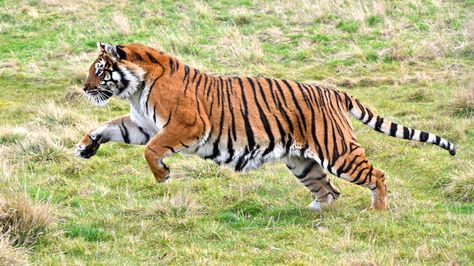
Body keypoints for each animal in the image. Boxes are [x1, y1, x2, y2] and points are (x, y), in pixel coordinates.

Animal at [76, 42, 458, 211]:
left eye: (100, 70)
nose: (84, 87)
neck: (136, 89)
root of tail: (333, 91)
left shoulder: (184, 126)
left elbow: (151, 150)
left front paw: (163, 175)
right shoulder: (140, 123)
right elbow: (108, 125)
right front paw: (85, 145)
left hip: (338, 153)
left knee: (376, 175)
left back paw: (376, 212)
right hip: (302, 162)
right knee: (330, 191)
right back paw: (316, 212)